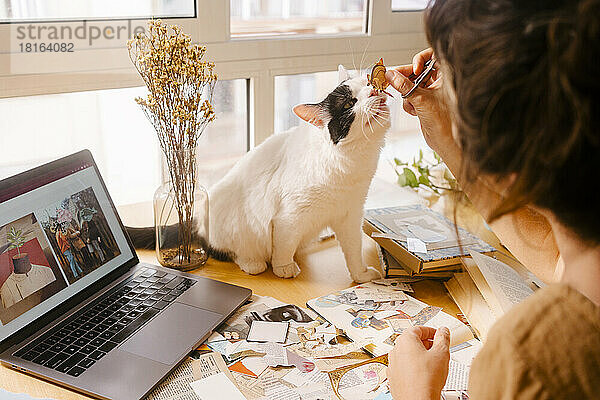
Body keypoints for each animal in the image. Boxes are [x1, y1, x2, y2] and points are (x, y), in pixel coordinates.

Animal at [127, 65, 390, 282]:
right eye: (348, 104)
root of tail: (198, 218)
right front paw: (283, 267)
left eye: (367, 82)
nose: (374, 91)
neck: (351, 164)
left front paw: (361, 275)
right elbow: (284, 245)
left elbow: (354, 251)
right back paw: (253, 262)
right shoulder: (288, 218)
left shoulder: (350, 215)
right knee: (227, 251)